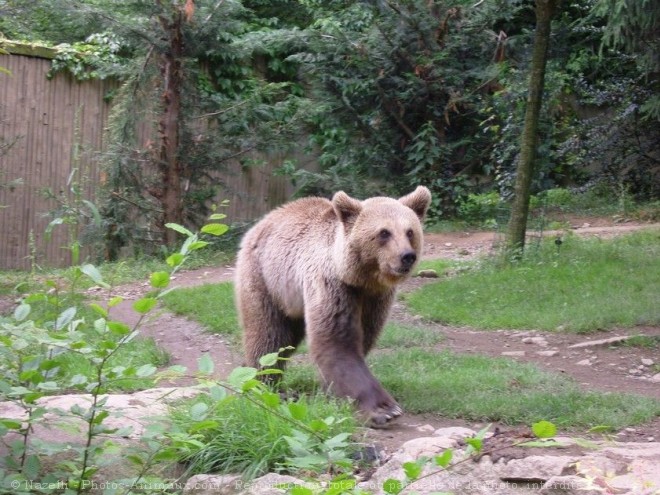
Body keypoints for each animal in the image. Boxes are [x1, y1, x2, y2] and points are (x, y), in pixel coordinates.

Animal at [235, 186, 430, 426]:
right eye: (384, 232)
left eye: (410, 231)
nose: (407, 256)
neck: (361, 279)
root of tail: (263, 221)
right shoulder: (332, 286)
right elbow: (338, 343)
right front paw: (384, 409)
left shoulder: (376, 299)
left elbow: (363, 337)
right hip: (266, 279)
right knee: (268, 336)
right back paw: (266, 384)